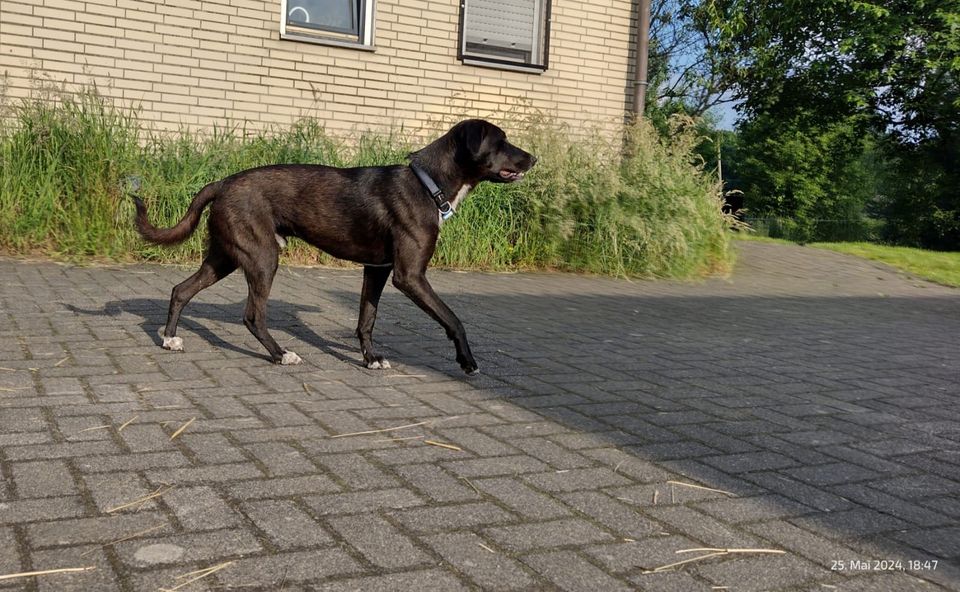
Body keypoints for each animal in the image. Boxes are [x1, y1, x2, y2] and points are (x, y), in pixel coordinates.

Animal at [134, 119, 536, 374]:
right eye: (501, 141)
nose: (534, 158)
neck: (427, 183)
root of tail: (222, 182)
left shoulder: (377, 270)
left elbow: (366, 320)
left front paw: (370, 359)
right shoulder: (410, 276)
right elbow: (453, 319)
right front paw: (468, 361)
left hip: (225, 256)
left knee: (181, 290)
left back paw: (170, 340)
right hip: (262, 258)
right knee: (252, 316)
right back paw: (281, 355)